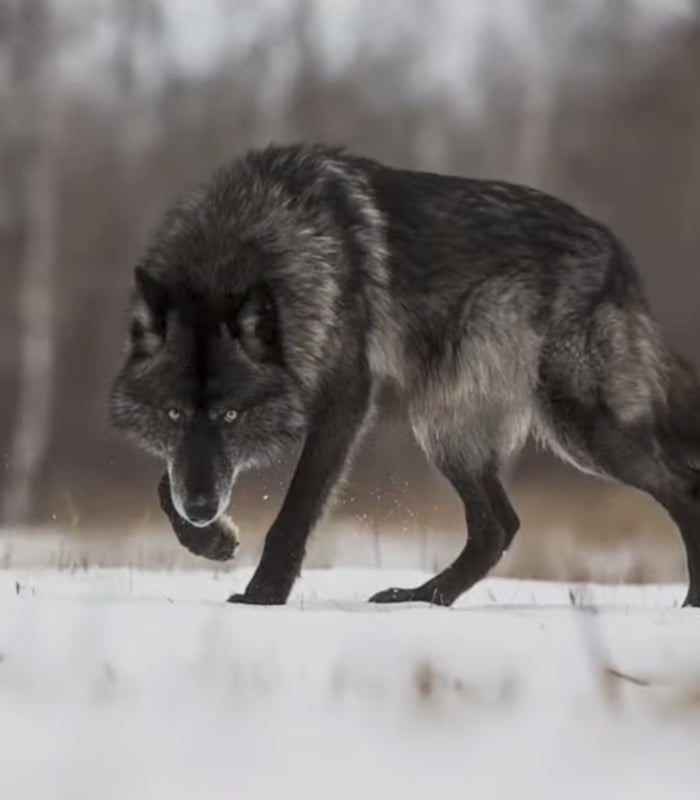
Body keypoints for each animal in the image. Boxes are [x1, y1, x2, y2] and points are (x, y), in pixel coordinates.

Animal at [109, 142, 700, 607]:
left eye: (232, 414)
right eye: (172, 413)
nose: (204, 509)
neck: (240, 244)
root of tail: (620, 258)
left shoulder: (346, 402)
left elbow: (295, 511)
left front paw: (262, 597)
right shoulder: (197, 455)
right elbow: (166, 485)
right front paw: (210, 541)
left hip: (581, 429)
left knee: (684, 487)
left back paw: (691, 602)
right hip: (447, 427)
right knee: (497, 526)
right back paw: (422, 597)